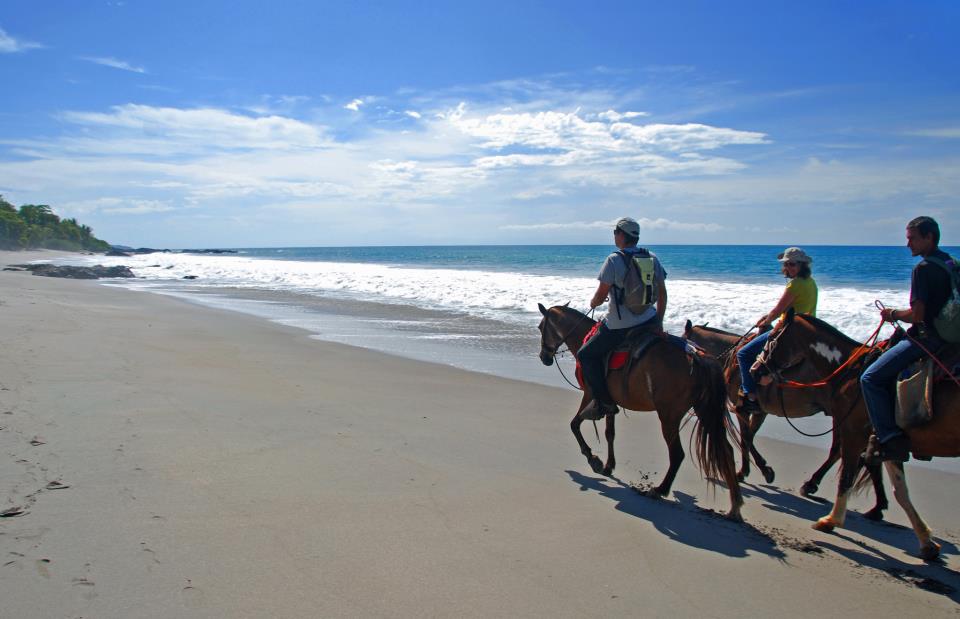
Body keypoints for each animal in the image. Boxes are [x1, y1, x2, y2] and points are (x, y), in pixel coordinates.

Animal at [536, 302, 748, 520]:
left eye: (541, 327)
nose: (544, 357)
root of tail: (698, 357)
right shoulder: (608, 402)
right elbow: (609, 433)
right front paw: (608, 465)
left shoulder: (590, 393)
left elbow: (574, 424)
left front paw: (593, 459)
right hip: (704, 410)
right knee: (726, 451)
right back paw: (735, 505)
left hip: (669, 416)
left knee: (677, 454)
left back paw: (659, 489)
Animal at [688, 320, 888, 520]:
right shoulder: (760, 411)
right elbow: (748, 437)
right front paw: (746, 470)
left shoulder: (742, 409)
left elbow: (745, 438)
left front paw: (762, 470)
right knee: (864, 455)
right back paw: (877, 504)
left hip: (842, 416)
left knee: (842, 451)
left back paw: (813, 485)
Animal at [756, 312, 952, 560]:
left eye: (772, 335)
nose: (754, 370)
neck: (848, 370)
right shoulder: (888, 439)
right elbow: (901, 490)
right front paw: (927, 541)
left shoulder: (854, 430)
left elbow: (846, 475)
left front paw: (830, 520)